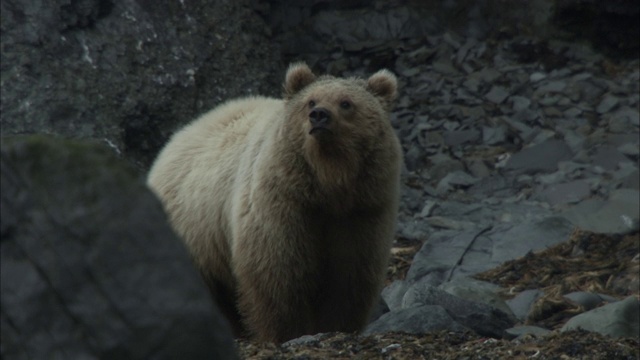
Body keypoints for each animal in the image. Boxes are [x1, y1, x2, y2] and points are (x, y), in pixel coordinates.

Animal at [148, 62, 402, 344]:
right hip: (192, 228)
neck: (329, 184)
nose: (319, 115)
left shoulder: (361, 212)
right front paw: (285, 332)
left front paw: (338, 326)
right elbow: (278, 274)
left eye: (346, 102)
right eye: (311, 100)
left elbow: (349, 277)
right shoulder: (283, 204)